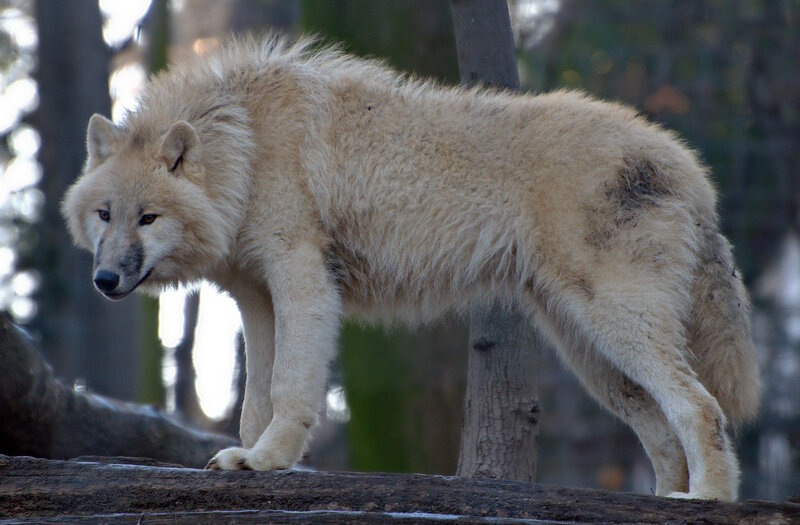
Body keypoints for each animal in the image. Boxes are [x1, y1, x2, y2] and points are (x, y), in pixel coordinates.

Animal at [62, 35, 760, 501]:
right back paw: (667, 499)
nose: (104, 281)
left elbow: (288, 389)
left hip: (614, 326)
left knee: (701, 408)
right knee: (663, 429)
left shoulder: (301, 279)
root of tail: (689, 167)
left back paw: (708, 499)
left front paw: (268, 461)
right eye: (105, 215)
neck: (247, 144)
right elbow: (254, 400)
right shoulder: (255, 299)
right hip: (592, 354)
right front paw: (250, 457)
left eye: (148, 218)